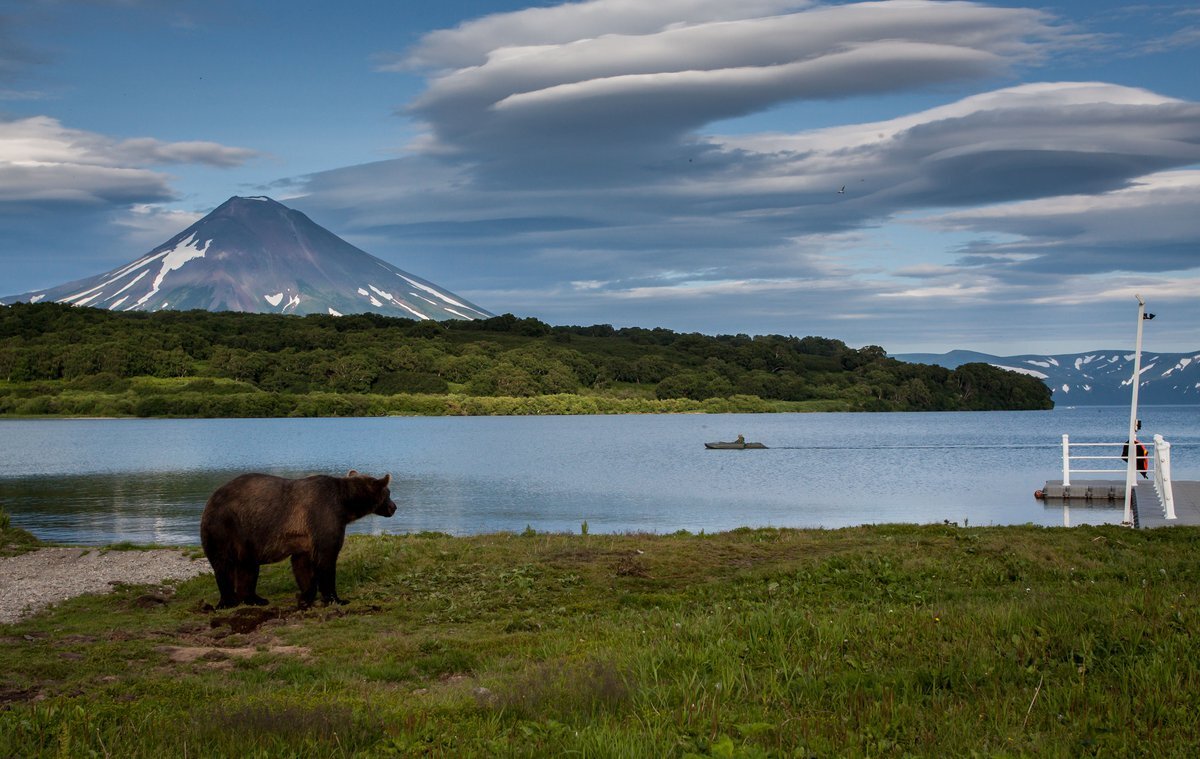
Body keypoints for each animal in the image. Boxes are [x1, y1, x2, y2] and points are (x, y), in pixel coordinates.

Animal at [200, 470, 398, 607]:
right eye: (388, 493)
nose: (394, 507)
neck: (345, 504)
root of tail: (210, 499)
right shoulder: (324, 515)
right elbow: (327, 559)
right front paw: (336, 598)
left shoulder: (303, 538)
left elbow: (302, 565)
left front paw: (304, 596)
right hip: (226, 526)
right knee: (224, 564)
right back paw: (229, 601)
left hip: (245, 538)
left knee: (247, 567)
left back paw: (256, 598)